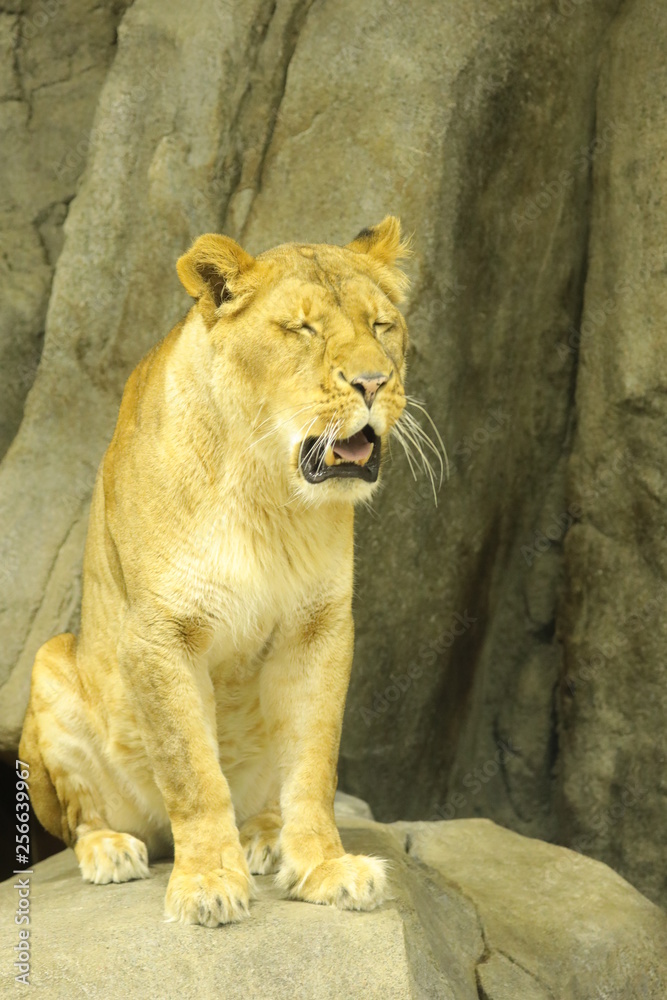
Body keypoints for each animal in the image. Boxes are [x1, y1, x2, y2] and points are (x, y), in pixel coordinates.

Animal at [19, 216, 414, 926]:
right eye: (302, 329)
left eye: (382, 325)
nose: (374, 382)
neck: (268, 491)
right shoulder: (159, 634)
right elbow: (192, 770)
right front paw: (206, 881)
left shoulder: (319, 627)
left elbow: (314, 764)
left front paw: (325, 868)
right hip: (51, 664)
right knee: (83, 817)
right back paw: (112, 851)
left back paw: (264, 836)